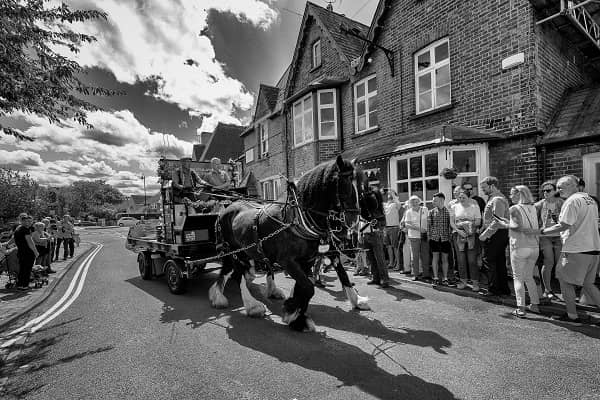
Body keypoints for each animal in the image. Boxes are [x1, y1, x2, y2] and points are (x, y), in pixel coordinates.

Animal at [210, 155, 370, 332]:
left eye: (361, 188)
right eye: (344, 186)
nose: (353, 223)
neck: (297, 218)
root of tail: (225, 208)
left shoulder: (308, 258)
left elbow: (312, 284)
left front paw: (294, 310)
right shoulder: (287, 261)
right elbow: (308, 288)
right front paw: (295, 316)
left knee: (234, 271)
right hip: (235, 251)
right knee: (236, 273)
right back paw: (249, 305)